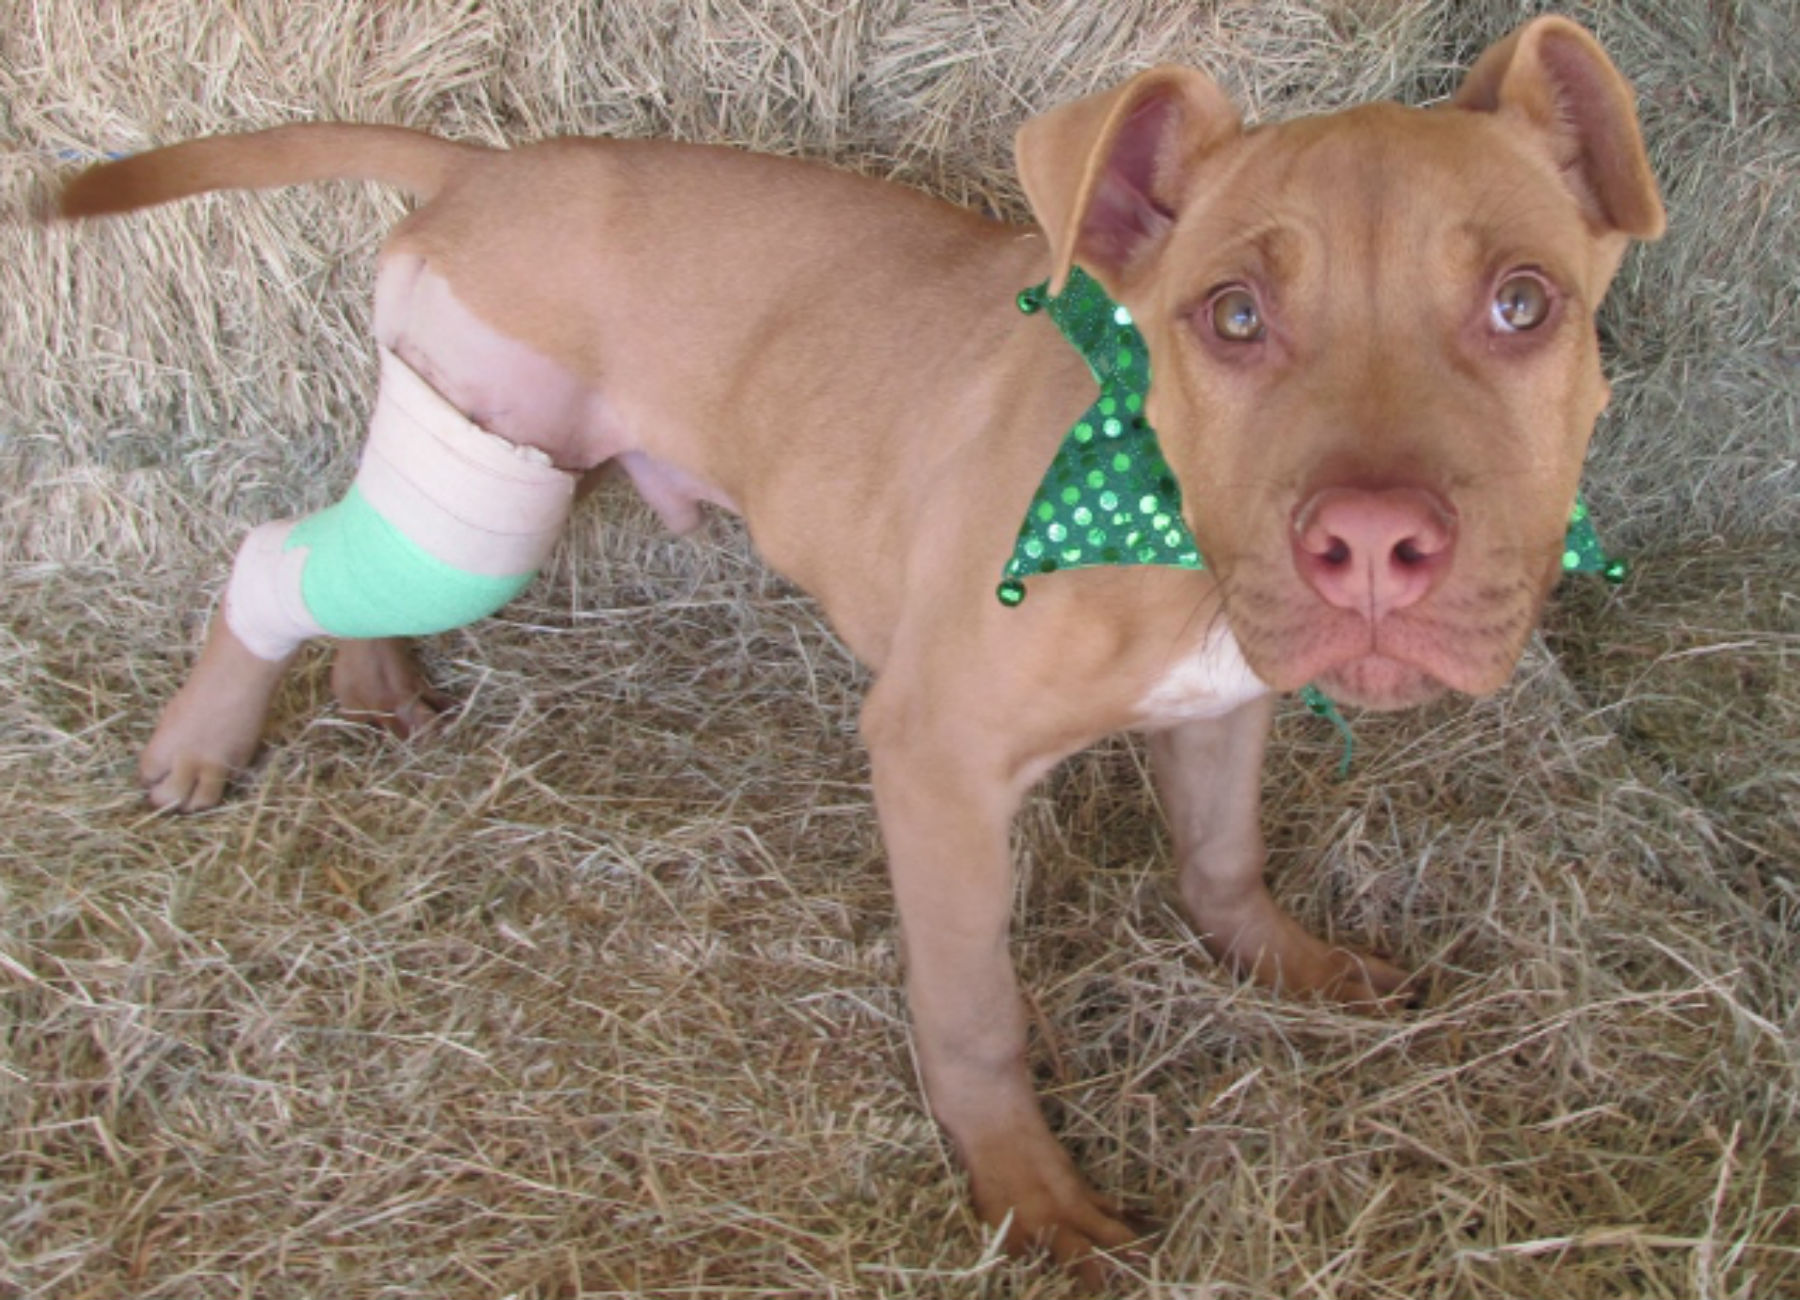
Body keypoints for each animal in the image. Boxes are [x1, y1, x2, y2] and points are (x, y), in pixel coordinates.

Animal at [56, 15, 1656, 1274]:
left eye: (1525, 304)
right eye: (1236, 316)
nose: (1377, 544)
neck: (1165, 528)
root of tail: (486, 164)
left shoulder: (1219, 703)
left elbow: (1221, 860)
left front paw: (1291, 961)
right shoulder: (936, 767)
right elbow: (973, 1011)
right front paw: (1026, 1192)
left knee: (359, 574)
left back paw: (378, 684)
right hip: (488, 490)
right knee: (276, 558)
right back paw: (202, 739)